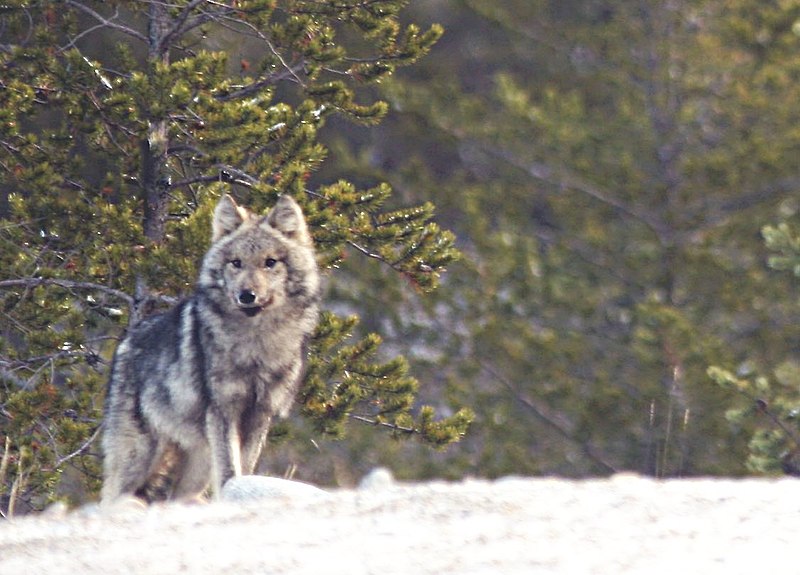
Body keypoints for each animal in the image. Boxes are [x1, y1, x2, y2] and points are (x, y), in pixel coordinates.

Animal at [101, 196, 320, 506]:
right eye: (236, 263)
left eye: (270, 262)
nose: (247, 295)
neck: (255, 344)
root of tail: (124, 345)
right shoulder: (223, 411)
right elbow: (229, 469)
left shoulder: (259, 415)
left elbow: (245, 467)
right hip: (141, 457)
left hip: (197, 462)